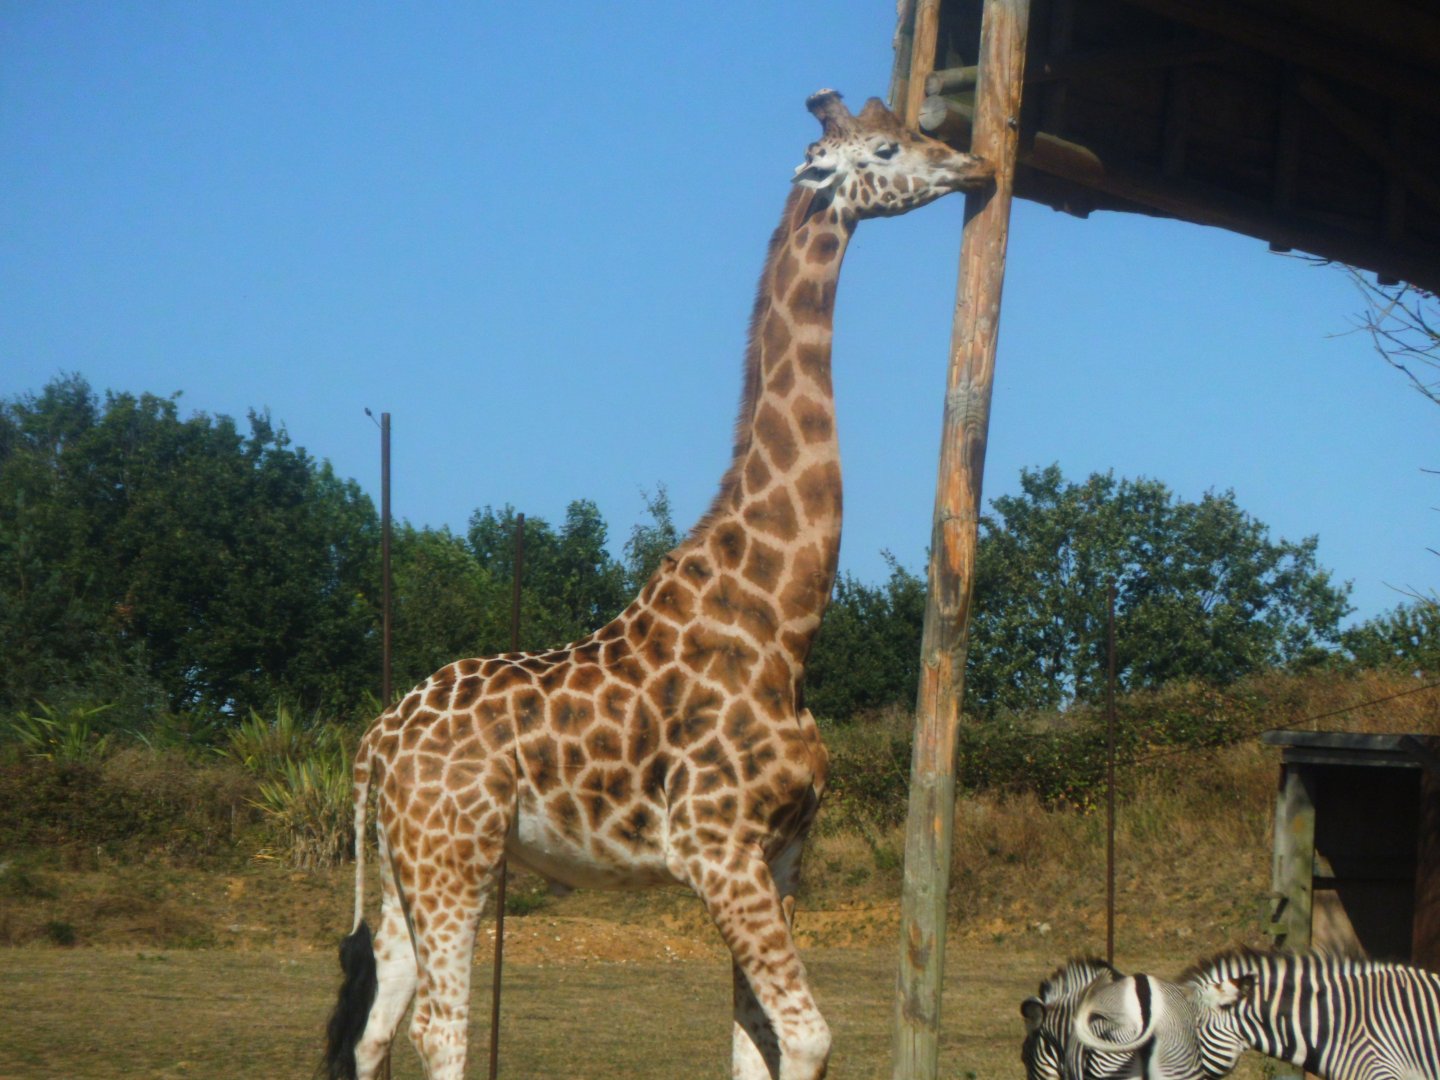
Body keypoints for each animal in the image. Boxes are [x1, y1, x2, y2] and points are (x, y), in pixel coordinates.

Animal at [322, 89, 991, 1080]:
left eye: (917, 131)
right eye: (884, 148)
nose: (974, 165)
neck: (783, 622)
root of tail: (376, 741)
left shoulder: (781, 850)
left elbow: (751, 1041)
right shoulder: (715, 846)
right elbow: (807, 1035)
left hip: (410, 864)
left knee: (374, 1029)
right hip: (454, 854)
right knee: (439, 1029)